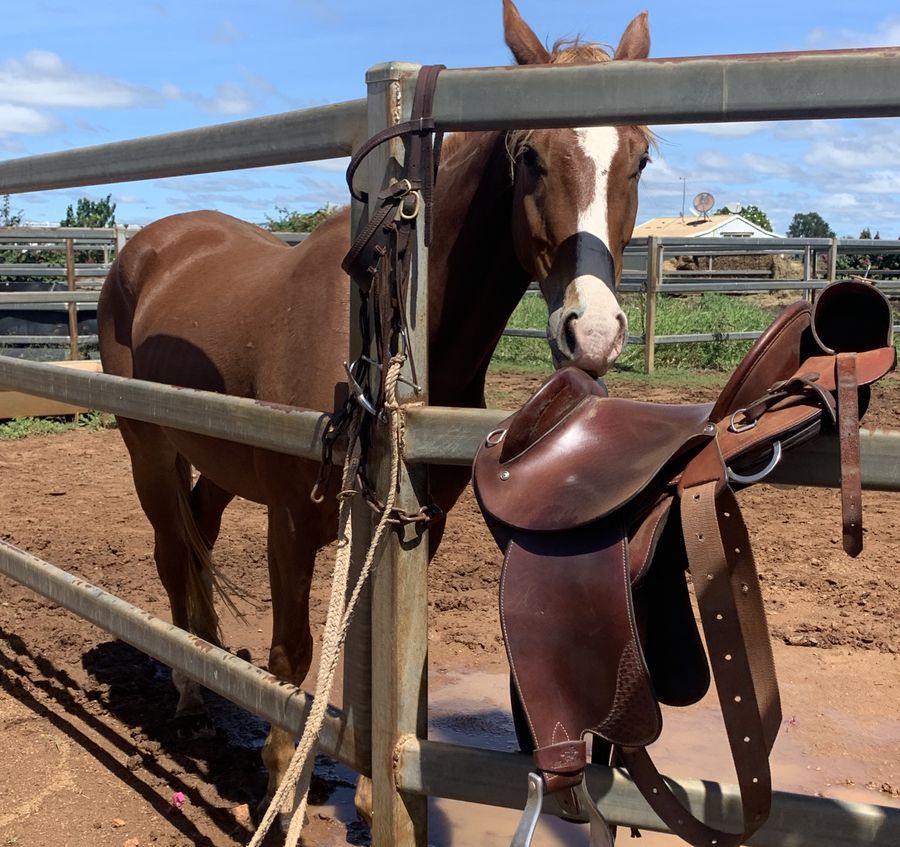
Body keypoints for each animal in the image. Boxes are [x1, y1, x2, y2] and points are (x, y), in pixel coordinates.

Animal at [97, 0, 653, 824]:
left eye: (639, 158)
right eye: (528, 154)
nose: (593, 332)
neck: (376, 335)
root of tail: (152, 245)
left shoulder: (405, 517)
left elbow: (372, 649)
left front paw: (365, 787)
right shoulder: (293, 521)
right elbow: (296, 652)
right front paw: (283, 782)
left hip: (217, 464)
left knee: (198, 538)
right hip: (150, 452)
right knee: (173, 552)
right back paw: (192, 691)